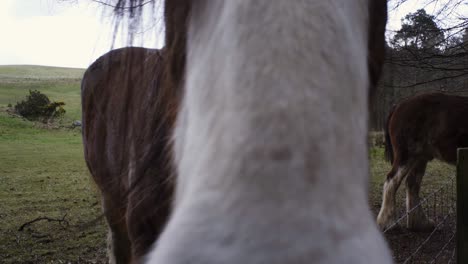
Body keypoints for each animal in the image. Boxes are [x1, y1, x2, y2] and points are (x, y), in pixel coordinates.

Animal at [376, 92, 468, 231]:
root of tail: (399, 105)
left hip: (420, 157)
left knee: (412, 183)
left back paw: (420, 223)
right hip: (406, 155)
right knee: (391, 181)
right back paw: (389, 223)